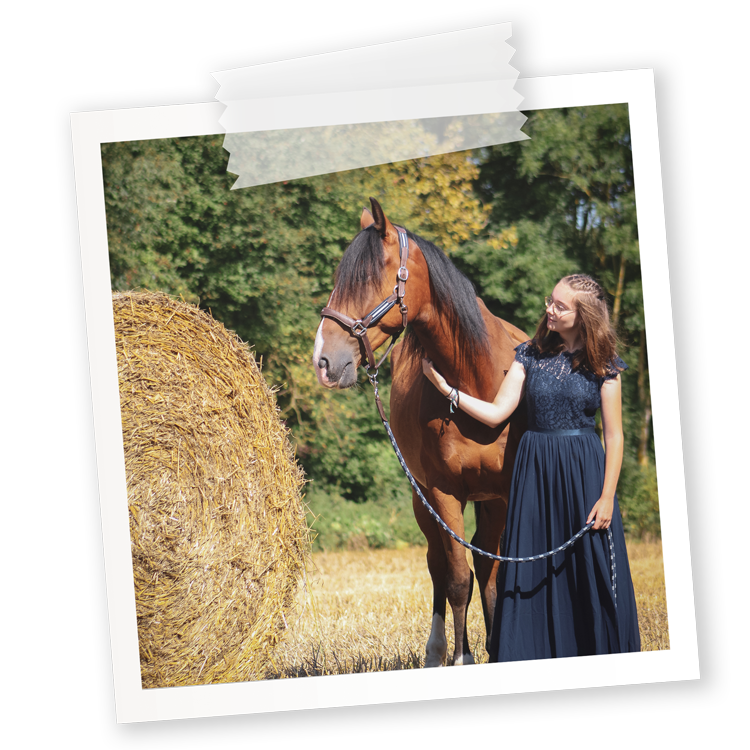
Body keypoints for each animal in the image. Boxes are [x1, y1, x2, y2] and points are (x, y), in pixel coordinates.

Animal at [312, 200, 528, 668]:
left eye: (367, 279)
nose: (323, 360)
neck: (476, 383)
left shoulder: (506, 491)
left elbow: (495, 569)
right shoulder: (442, 493)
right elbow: (458, 580)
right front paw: (463, 658)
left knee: (484, 564)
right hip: (423, 499)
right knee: (440, 566)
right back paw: (437, 652)